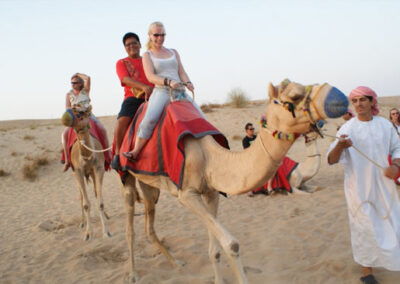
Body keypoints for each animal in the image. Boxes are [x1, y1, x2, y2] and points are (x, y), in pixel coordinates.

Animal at [63, 105, 111, 241]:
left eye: (81, 113)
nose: (66, 117)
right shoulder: (78, 171)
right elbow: (86, 204)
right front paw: (88, 234)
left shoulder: (99, 168)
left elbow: (100, 201)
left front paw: (106, 232)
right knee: (81, 196)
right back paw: (82, 222)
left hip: (93, 173)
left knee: (96, 192)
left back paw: (106, 216)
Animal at [119, 79, 346, 282]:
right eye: (293, 96)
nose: (339, 97)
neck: (209, 156)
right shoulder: (187, 194)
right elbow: (231, 244)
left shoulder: (211, 192)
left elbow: (215, 250)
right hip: (126, 174)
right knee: (130, 227)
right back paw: (133, 274)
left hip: (149, 185)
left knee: (149, 224)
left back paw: (178, 264)